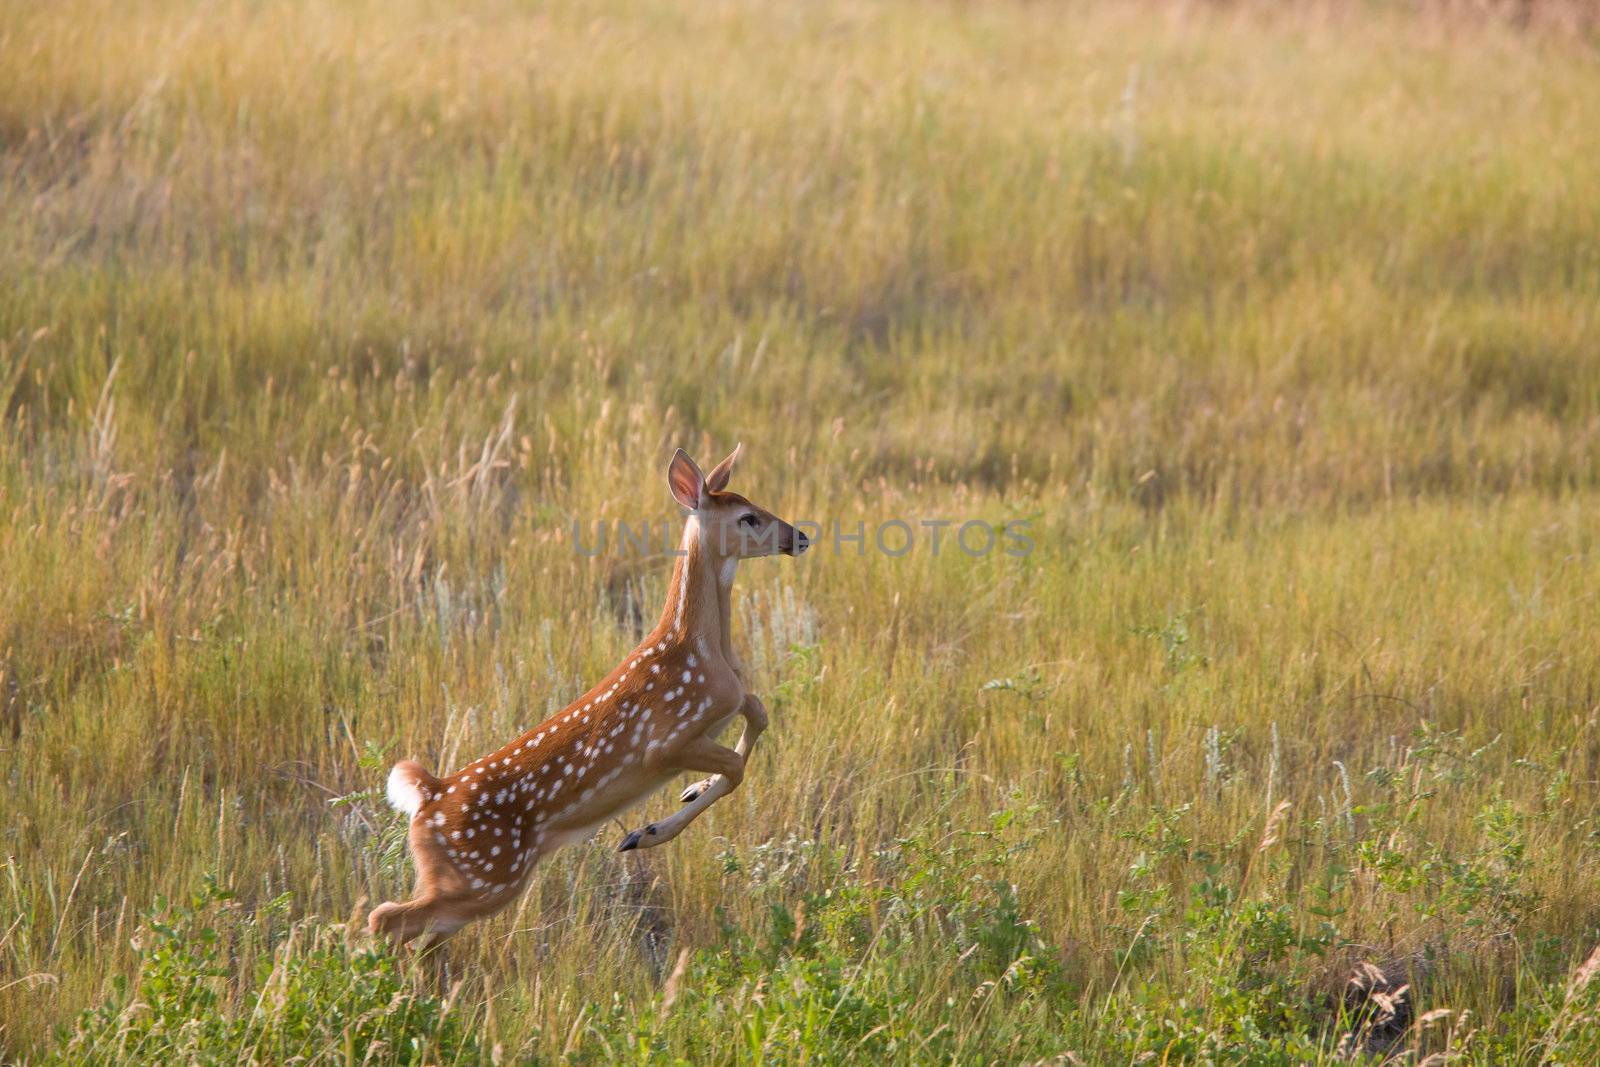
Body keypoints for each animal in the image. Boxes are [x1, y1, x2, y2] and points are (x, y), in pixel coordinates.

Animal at [368, 447, 806, 947]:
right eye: (747, 517)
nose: (800, 536)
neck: (700, 647)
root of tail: (428, 795)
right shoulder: (664, 742)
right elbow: (735, 769)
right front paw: (644, 832)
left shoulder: (728, 702)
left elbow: (758, 713)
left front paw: (690, 791)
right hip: (487, 875)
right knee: (384, 918)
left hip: (466, 885)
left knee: (418, 931)